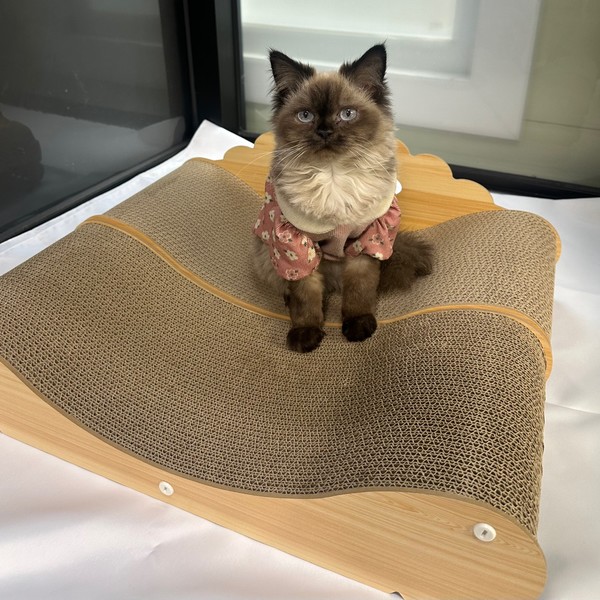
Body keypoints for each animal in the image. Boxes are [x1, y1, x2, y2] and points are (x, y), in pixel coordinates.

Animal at [253, 44, 433, 353]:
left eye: (347, 114)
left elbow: (359, 291)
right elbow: (306, 297)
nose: (325, 131)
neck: (333, 176)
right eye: (306, 116)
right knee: (288, 284)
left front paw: (358, 327)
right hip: (267, 256)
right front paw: (306, 335)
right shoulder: (296, 245)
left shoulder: (368, 239)